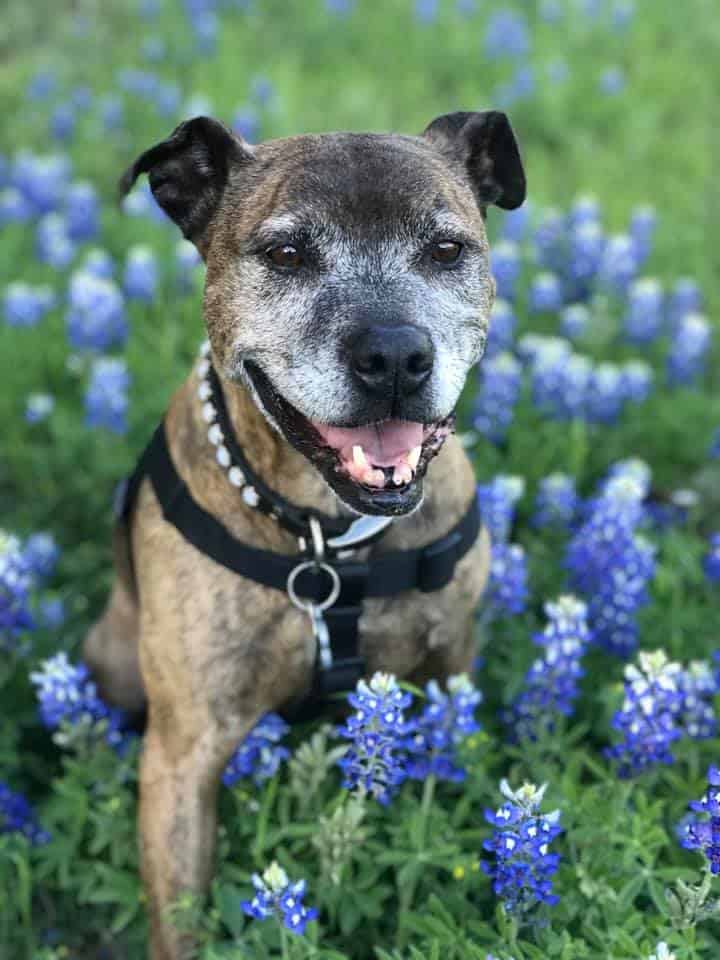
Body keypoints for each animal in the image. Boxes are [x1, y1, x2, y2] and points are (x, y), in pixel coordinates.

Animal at [83, 112, 524, 960]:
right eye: (286, 255)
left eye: (446, 249)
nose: (395, 353)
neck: (330, 538)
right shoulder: (184, 753)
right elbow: (181, 919)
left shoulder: (451, 662)